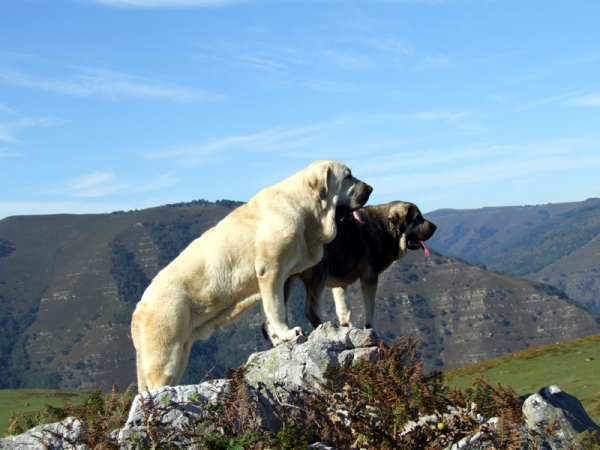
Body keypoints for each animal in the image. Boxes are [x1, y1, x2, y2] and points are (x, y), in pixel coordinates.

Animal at [131, 161, 370, 390]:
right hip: (165, 354)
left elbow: (273, 309)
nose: (370, 188)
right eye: (348, 176)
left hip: (181, 352)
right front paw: (287, 334)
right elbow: (277, 309)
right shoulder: (271, 270)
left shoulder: (283, 278)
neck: (305, 206)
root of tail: (139, 309)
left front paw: (278, 338)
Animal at [284, 200, 434, 334]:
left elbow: (344, 310)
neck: (385, 227)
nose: (435, 227)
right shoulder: (369, 277)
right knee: (310, 311)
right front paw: (373, 331)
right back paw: (325, 327)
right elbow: (369, 310)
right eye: (418, 217)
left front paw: (348, 328)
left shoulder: (340, 285)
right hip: (319, 274)